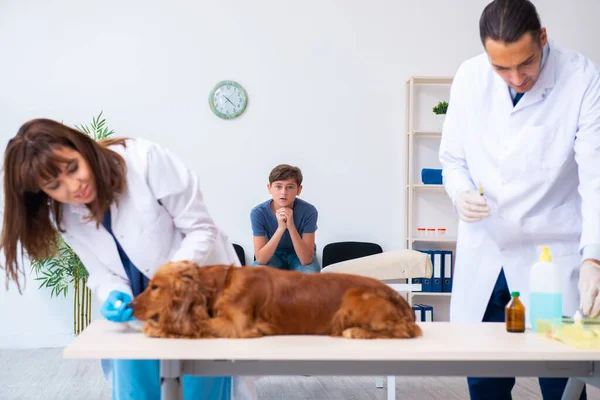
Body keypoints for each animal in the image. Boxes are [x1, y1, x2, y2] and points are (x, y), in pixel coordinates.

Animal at [131, 260, 422, 340]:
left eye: (154, 287)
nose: (130, 305)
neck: (221, 283)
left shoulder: (237, 327)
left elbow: (196, 325)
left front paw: (158, 327)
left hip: (352, 300)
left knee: (405, 330)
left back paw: (357, 332)